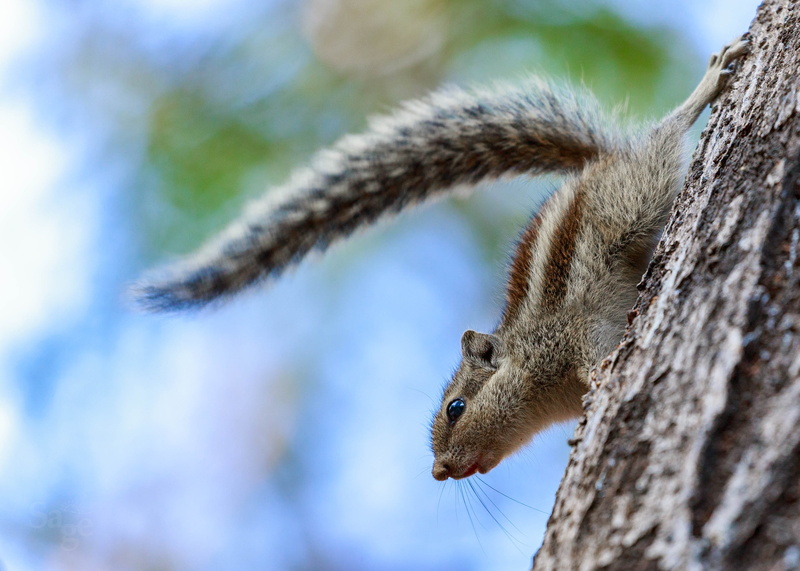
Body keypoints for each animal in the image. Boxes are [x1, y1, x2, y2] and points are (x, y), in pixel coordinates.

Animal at [132, 37, 749, 481]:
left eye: (455, 408)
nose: (438, 471)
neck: (531, 369)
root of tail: (595, 164)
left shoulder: (570, 335)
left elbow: (596, 357)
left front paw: (601, 378)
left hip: (633, 195)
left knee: (664, 134)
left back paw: (711, 80)